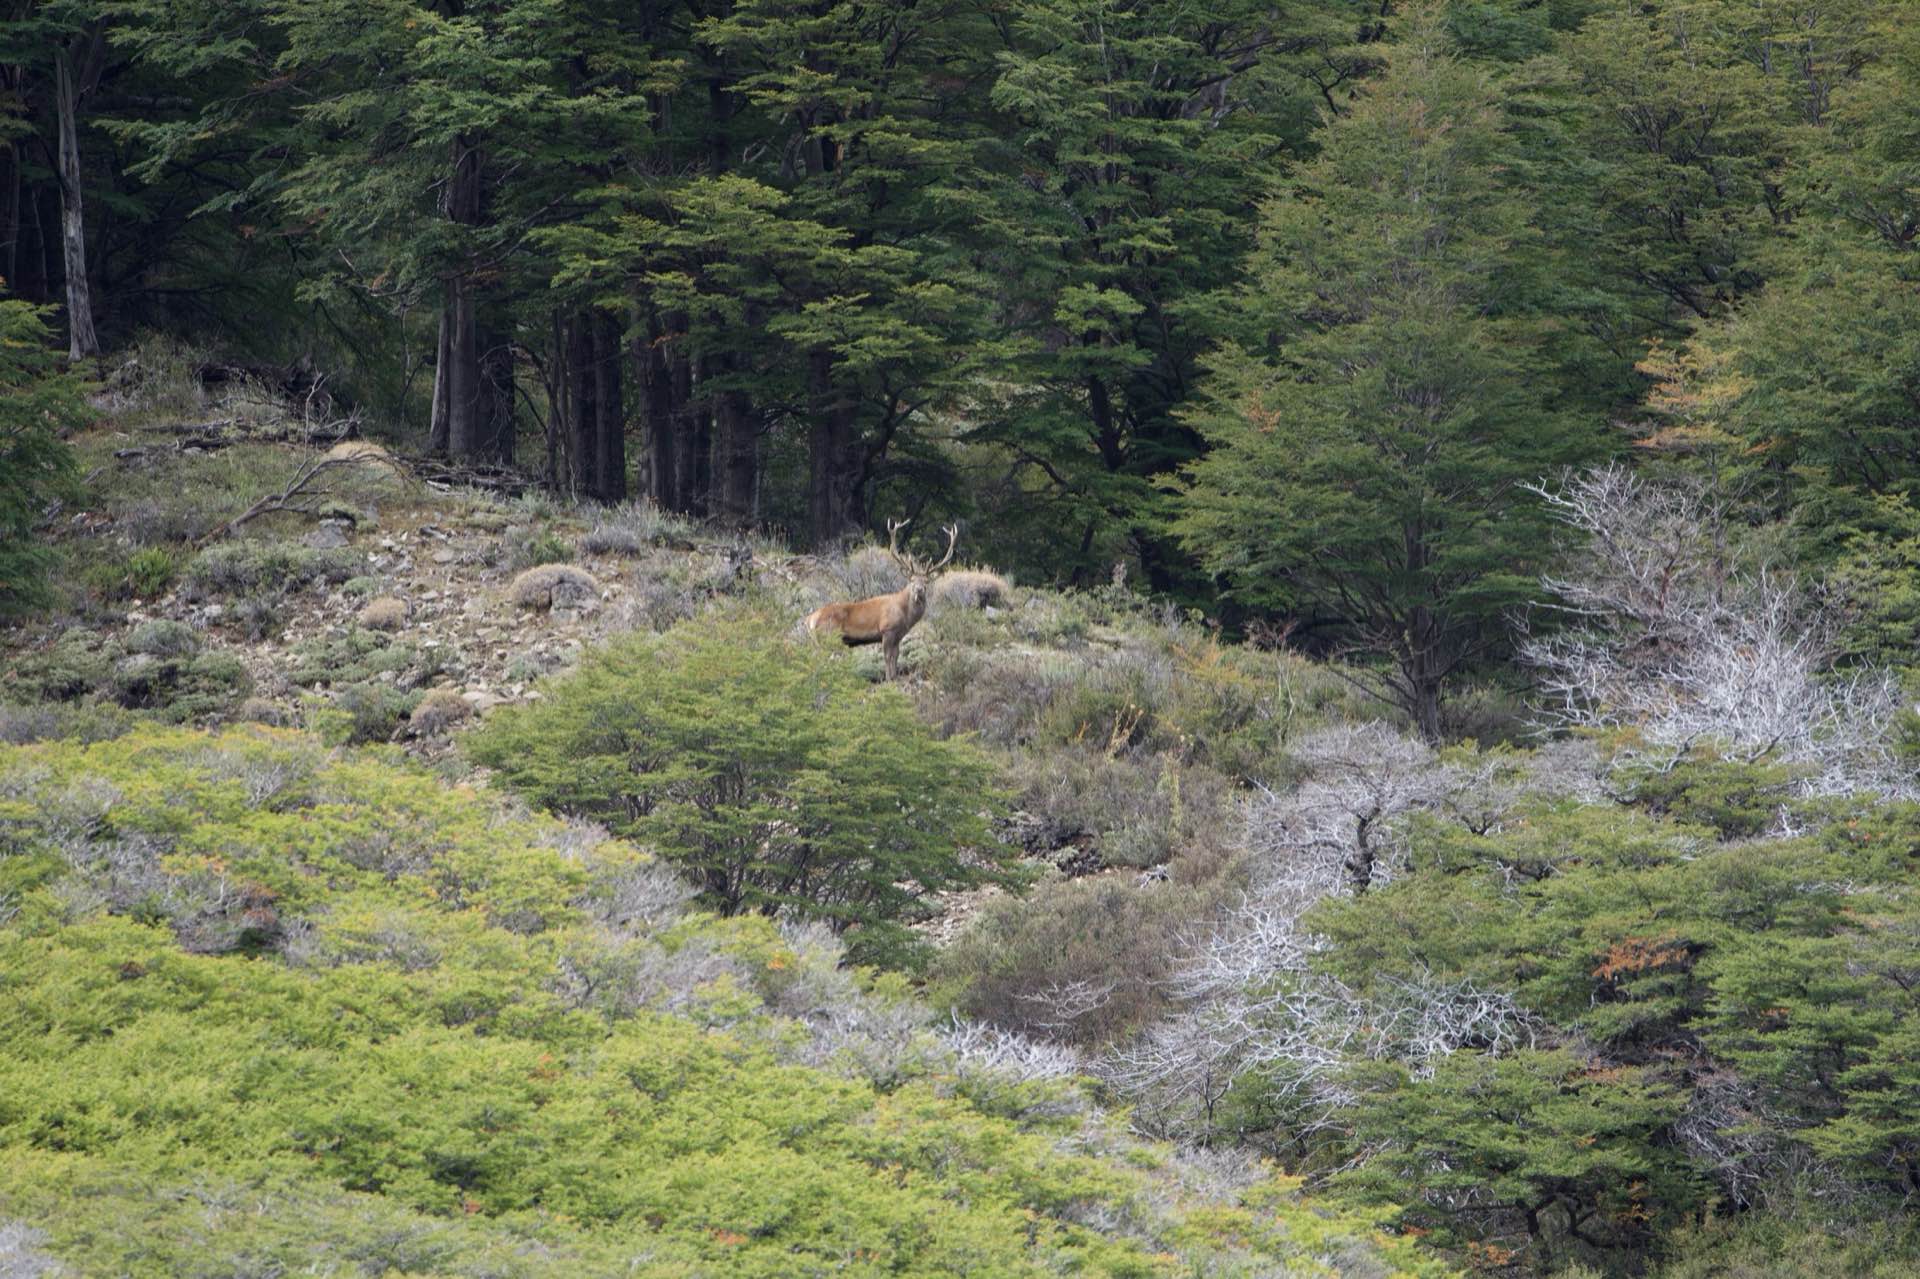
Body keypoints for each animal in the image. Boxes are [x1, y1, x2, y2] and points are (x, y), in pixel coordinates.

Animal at [804, 519, 957, 679]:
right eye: (912, 580)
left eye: (926, 581)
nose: (919, 590)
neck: (905, 615)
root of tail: (809, 619)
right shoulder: (887, 629)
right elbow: (888, 657)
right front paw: (889, 679)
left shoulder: (898, 635)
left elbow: (896, 656)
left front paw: (894, 677)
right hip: (827, 635)